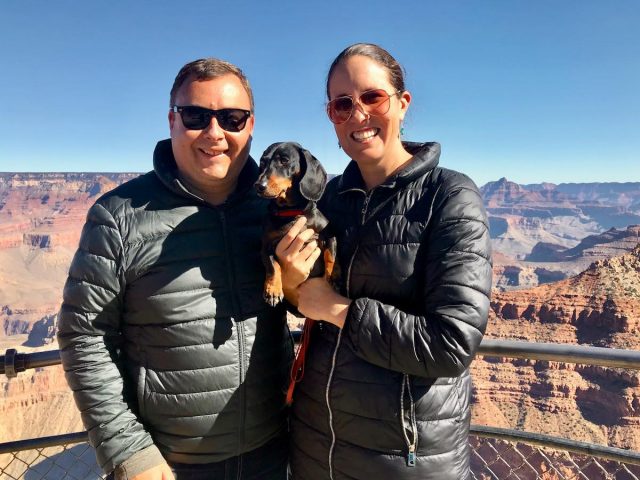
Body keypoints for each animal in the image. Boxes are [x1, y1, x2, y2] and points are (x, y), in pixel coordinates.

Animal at [254, 142, 338, 308]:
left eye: (284, 160)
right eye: (262, 162)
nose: (259, 185)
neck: (291, 213)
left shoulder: (329, 234)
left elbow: (330, 255)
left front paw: (332, 276)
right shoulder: (265, 247)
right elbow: (273, 266)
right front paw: (273, 290)